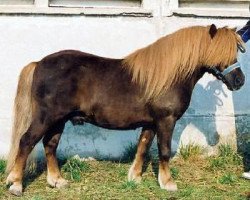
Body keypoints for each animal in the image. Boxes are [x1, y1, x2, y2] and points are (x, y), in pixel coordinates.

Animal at [5, 23, 246, 195]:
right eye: (220, 53)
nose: (239, 81)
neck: (169, 76)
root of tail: (39, 63)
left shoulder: (151, 123)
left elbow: (142, 148)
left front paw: (135, 177)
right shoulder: (166, 120)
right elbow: (164, 151)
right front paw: (168, 183)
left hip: (59, 120)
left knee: (50, 145)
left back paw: (57, 181)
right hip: (46, 117)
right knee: (26, 141)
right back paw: (16, 184)